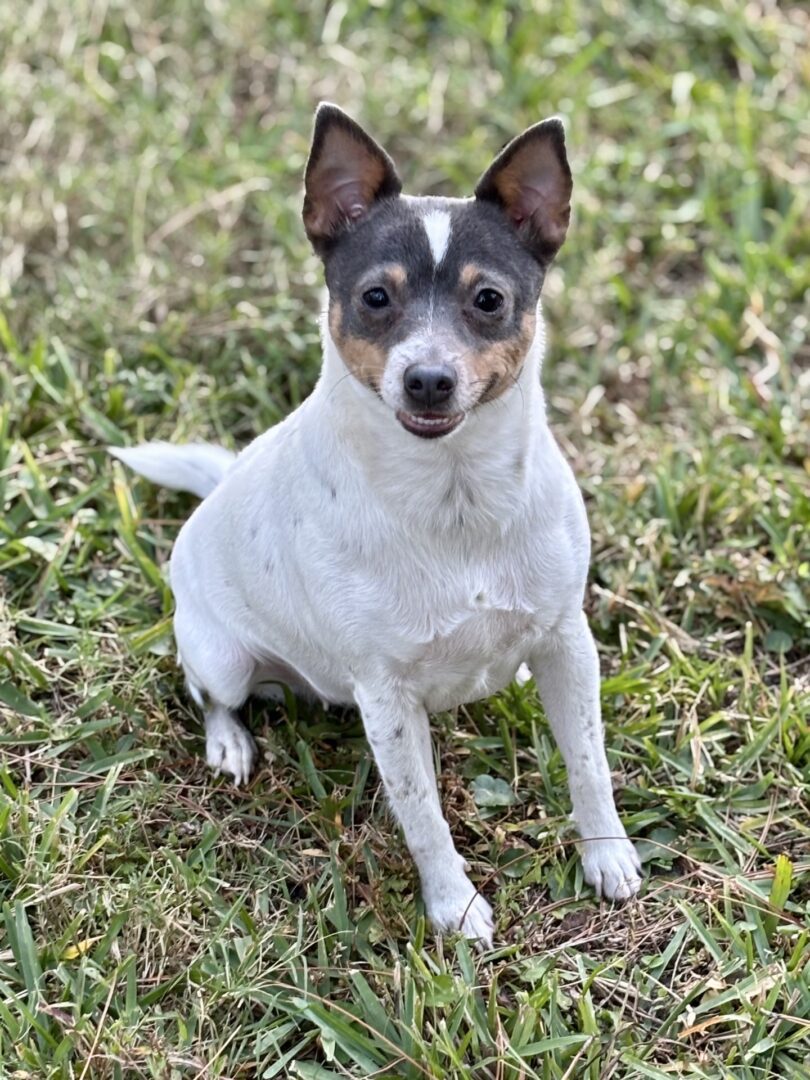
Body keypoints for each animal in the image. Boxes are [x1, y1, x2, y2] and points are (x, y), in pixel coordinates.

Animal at [110, 103, 642, 946]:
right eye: (374, 299)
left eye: (488, 300)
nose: (428, 379)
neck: (454, 495)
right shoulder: (388, 699)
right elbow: (423, 814)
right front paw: (454, 905)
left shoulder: (567, 642)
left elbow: (588, 761)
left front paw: (605, 852)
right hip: (221, 653)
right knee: (211, 691)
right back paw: (229, 742)